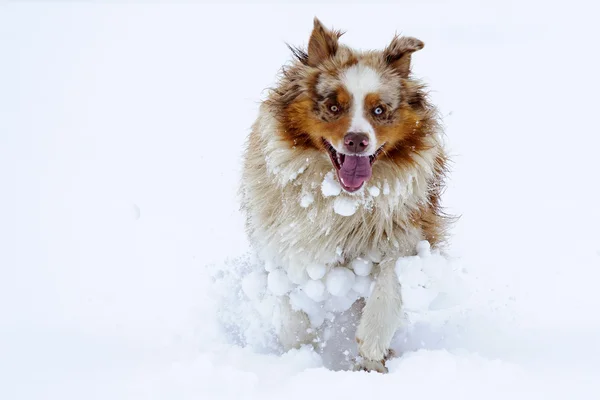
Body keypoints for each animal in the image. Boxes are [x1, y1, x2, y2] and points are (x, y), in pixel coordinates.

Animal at [240, 17, 450, 370]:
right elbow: (289, 304)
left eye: (379, 110)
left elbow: (388, 288)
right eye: (334, 106)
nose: (356, 140)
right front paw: (300, 355)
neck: (342, 200)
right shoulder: (280, 235)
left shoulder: (409, 232)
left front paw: (371, 352)